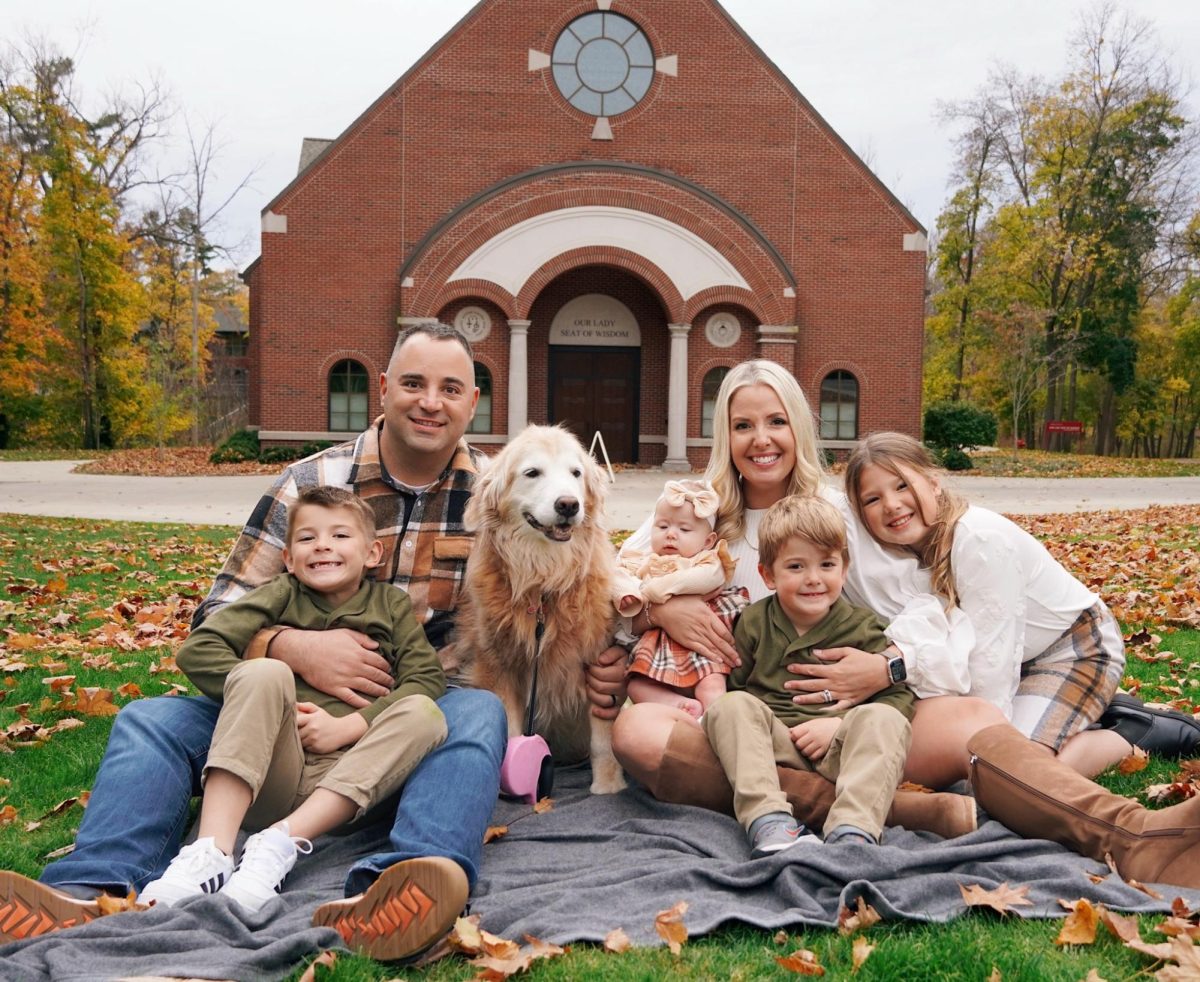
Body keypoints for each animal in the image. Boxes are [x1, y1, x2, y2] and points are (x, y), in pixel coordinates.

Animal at [453, 424, 628, 792]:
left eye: (576, 473)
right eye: (532, 473)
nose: (569, 505)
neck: (544, 579)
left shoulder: (596, 661)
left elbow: (603, 740)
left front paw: (607, 786)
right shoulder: (499, 666)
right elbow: (513, 731)